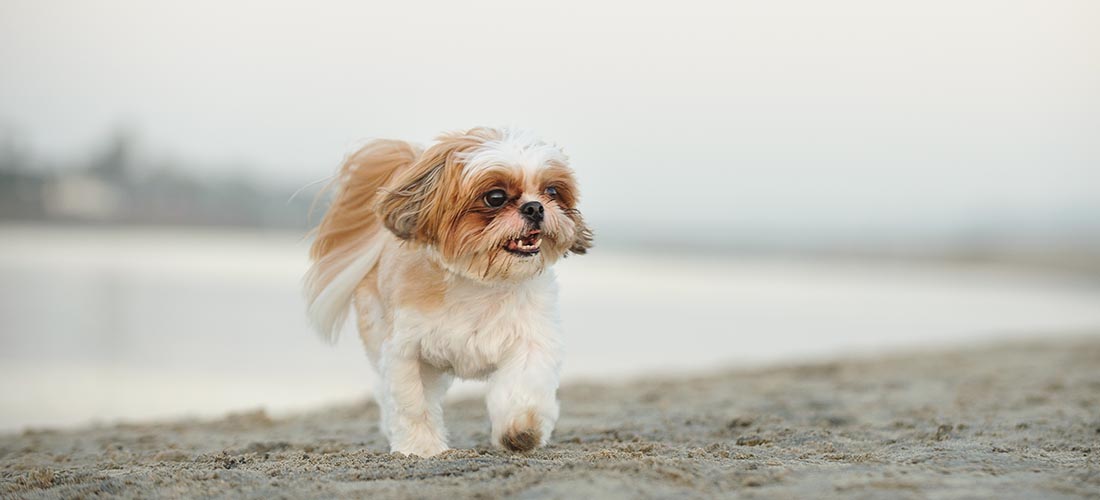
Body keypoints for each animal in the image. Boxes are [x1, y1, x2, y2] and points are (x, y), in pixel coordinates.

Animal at [301, 127, 594, 457]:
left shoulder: (531, 340)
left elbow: (523, 387)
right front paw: (420, 447)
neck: (480, 283)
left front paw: (521, 430)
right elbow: (413, 404)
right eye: (495, 197)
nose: (535, 207)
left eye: (552, 191)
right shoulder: (406, 351)